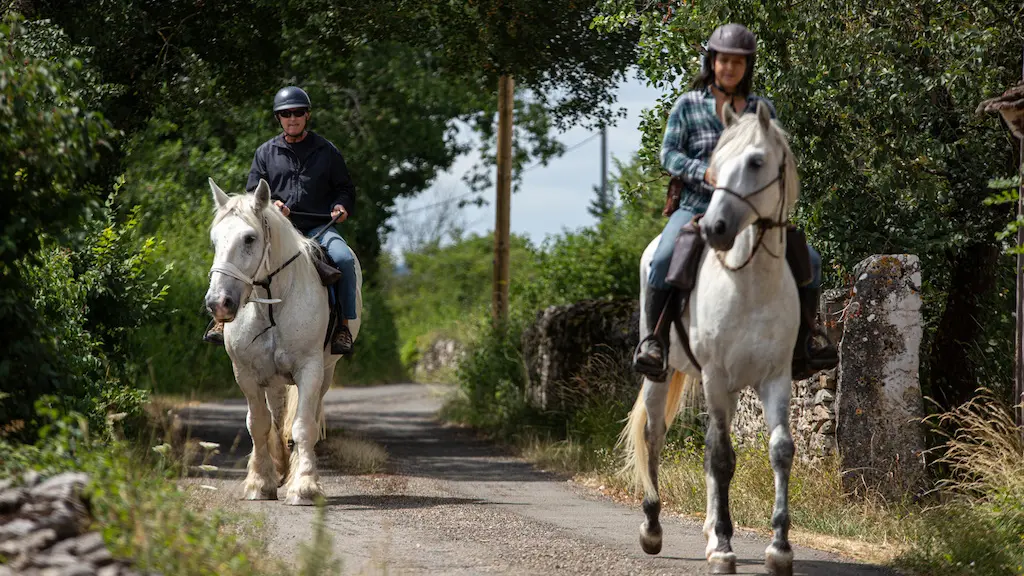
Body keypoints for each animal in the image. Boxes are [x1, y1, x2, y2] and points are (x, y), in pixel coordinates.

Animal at [201, 177, 362, 504]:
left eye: (249, 238)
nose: (218, 303)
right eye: (215, 240)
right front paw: (260, 483)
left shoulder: (310, 371)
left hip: (325, 372)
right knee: (276, 419)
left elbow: (303, 426)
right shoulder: (246, 374)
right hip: (274, 380)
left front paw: (304, 487)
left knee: (303, 417)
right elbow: (258, 424)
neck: (273, 303)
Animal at [618, 100, 802, 569]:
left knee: (705, 445)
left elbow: (779, 450)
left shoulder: (775, 377)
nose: (715, 228)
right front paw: (723, 548)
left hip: (730, 388)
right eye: (716, 165)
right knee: (655, 436)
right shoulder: (715, 376)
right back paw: (652, 528)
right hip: (663, 374)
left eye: (756, 162)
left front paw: (779, 547)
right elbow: (721, 457)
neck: (750, 283)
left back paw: (707, 529)